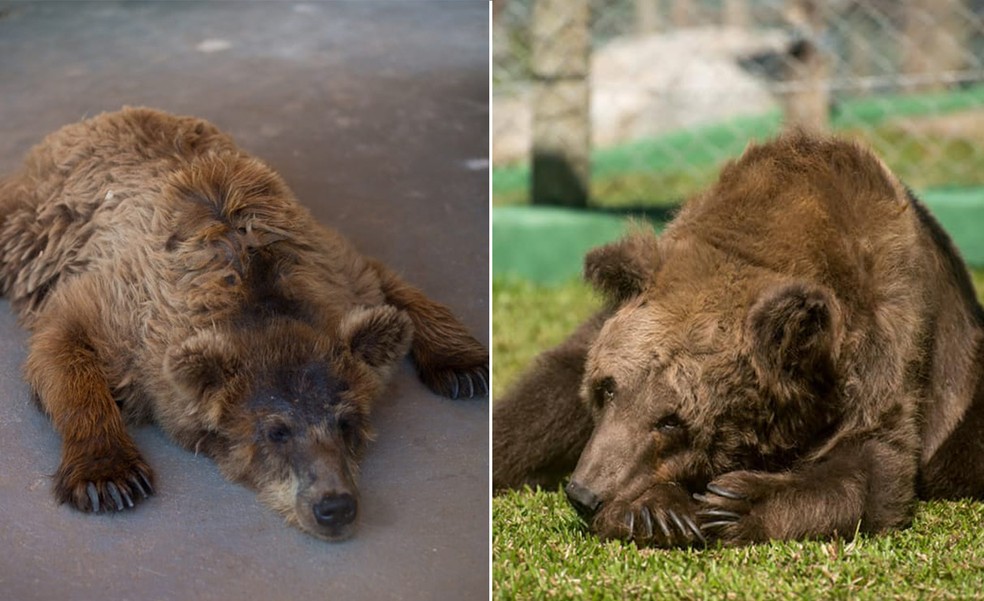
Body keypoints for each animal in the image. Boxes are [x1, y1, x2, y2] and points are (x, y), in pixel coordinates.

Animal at [0, 105, 488, 540]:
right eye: (276, 431)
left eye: (348, 420)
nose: (334, 507)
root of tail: (89, 120)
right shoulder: (120, 307)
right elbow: (63, 342)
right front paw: (109, 478)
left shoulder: (331, 268)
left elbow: (389, 284)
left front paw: (463, 366)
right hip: (33, 219)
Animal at [496, 132, 984, 548]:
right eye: (607, 387)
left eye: (673, 420)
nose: (585, 493)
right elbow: (543, 404)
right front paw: (655, 512)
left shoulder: (885, 341)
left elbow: (871, 463)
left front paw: (731, 503)